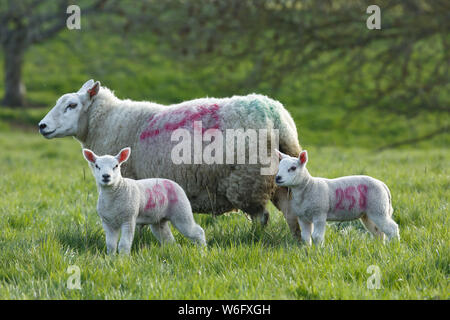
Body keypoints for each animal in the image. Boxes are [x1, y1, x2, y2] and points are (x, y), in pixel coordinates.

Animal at [37, 79, 302, 236]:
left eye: (72, 105)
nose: (42, 126)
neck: (108, 122)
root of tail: (278, 117)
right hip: (277, 177)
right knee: (288, 212)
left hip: (248, 180)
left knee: (261, 217)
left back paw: (254, 238)